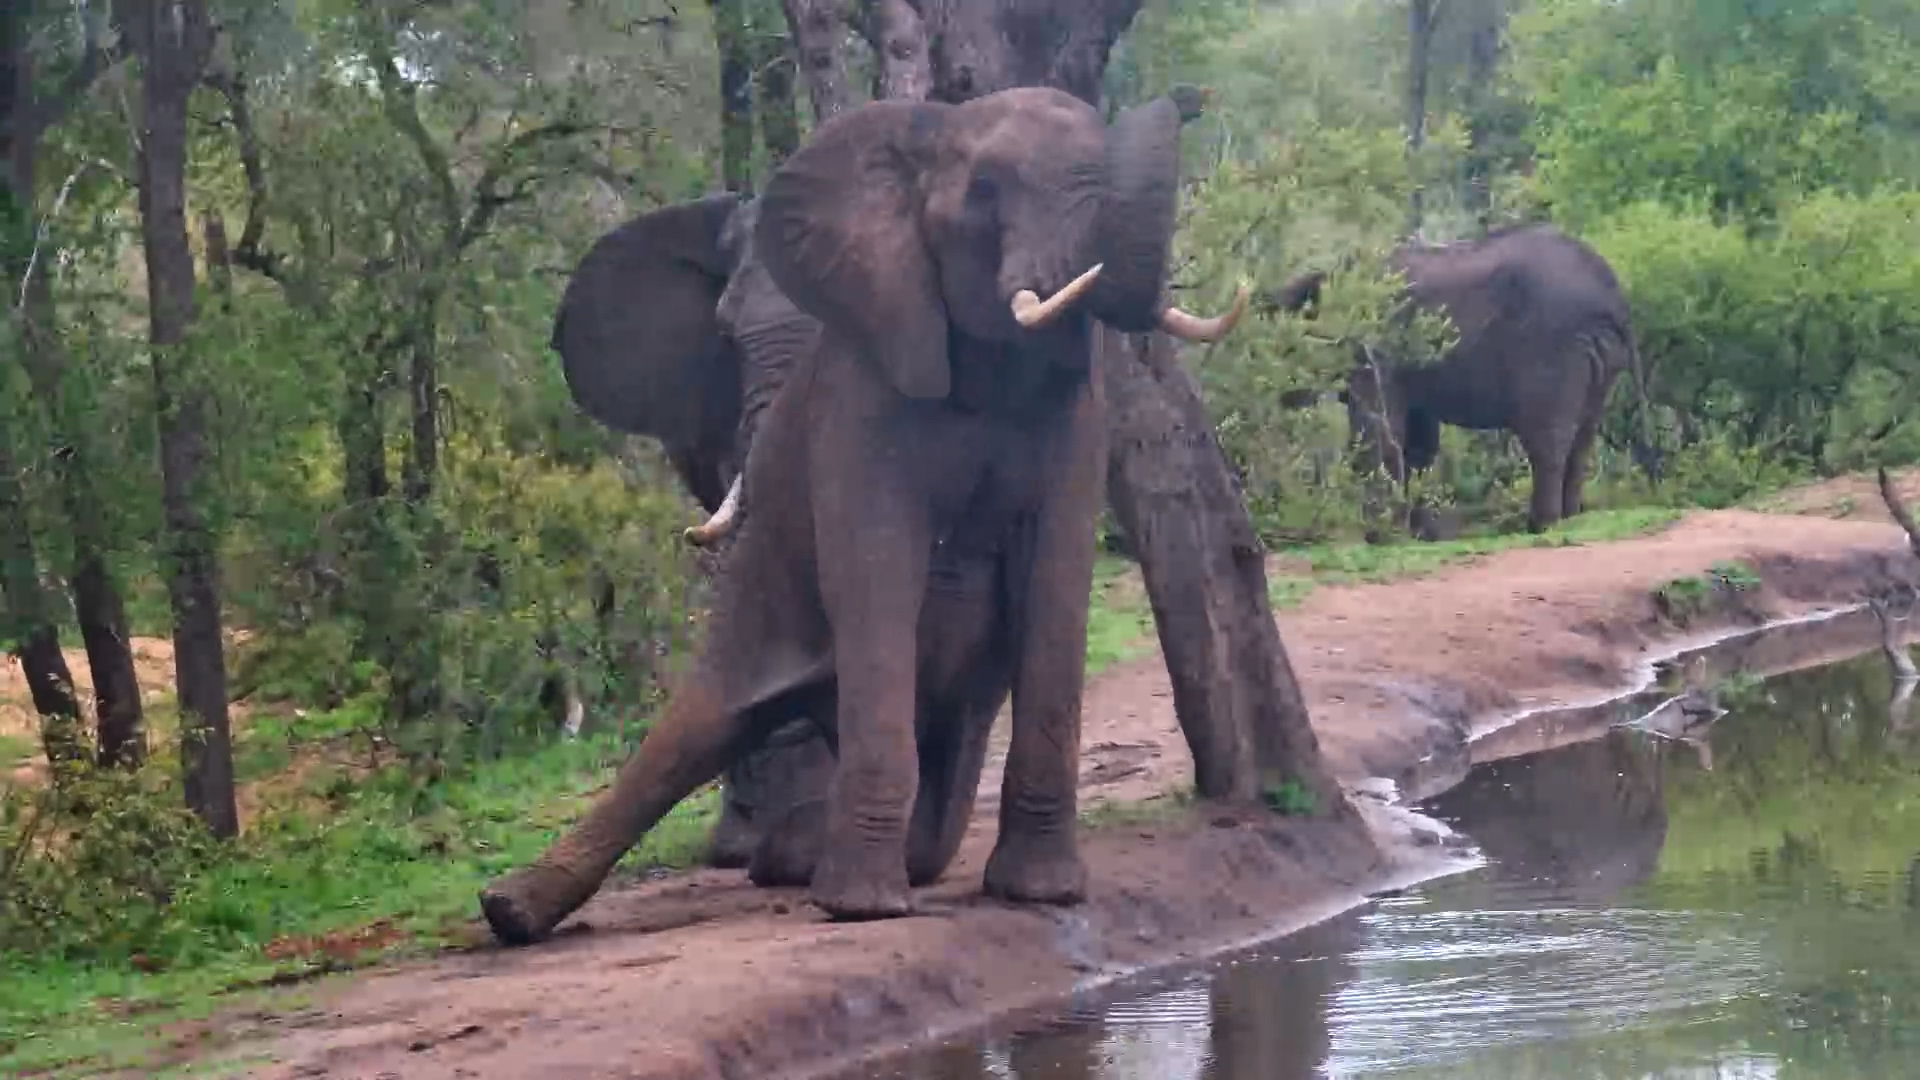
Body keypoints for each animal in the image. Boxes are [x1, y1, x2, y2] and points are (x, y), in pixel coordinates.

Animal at [479, 86, 1248, 944]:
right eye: (984, 191)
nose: (1184, 98)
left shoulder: (1078, 413)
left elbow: (1055, 584)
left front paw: (1042, 894)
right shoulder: (860, 395)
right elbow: (880, 578)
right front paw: (861, 909)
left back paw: (800, 854)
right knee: (699, 723)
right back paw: (513, 909)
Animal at [1272, 225, 1649, 534]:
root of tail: (1614, 299)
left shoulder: (1374, 347)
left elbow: (1376, 434)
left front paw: (1381, 536)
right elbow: (1419, 442)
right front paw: (1419, 535)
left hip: (1553, 348)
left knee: (1546, 439)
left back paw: (1541, 527)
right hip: (1598, 357)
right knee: (1582, 438)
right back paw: (1570, 521)